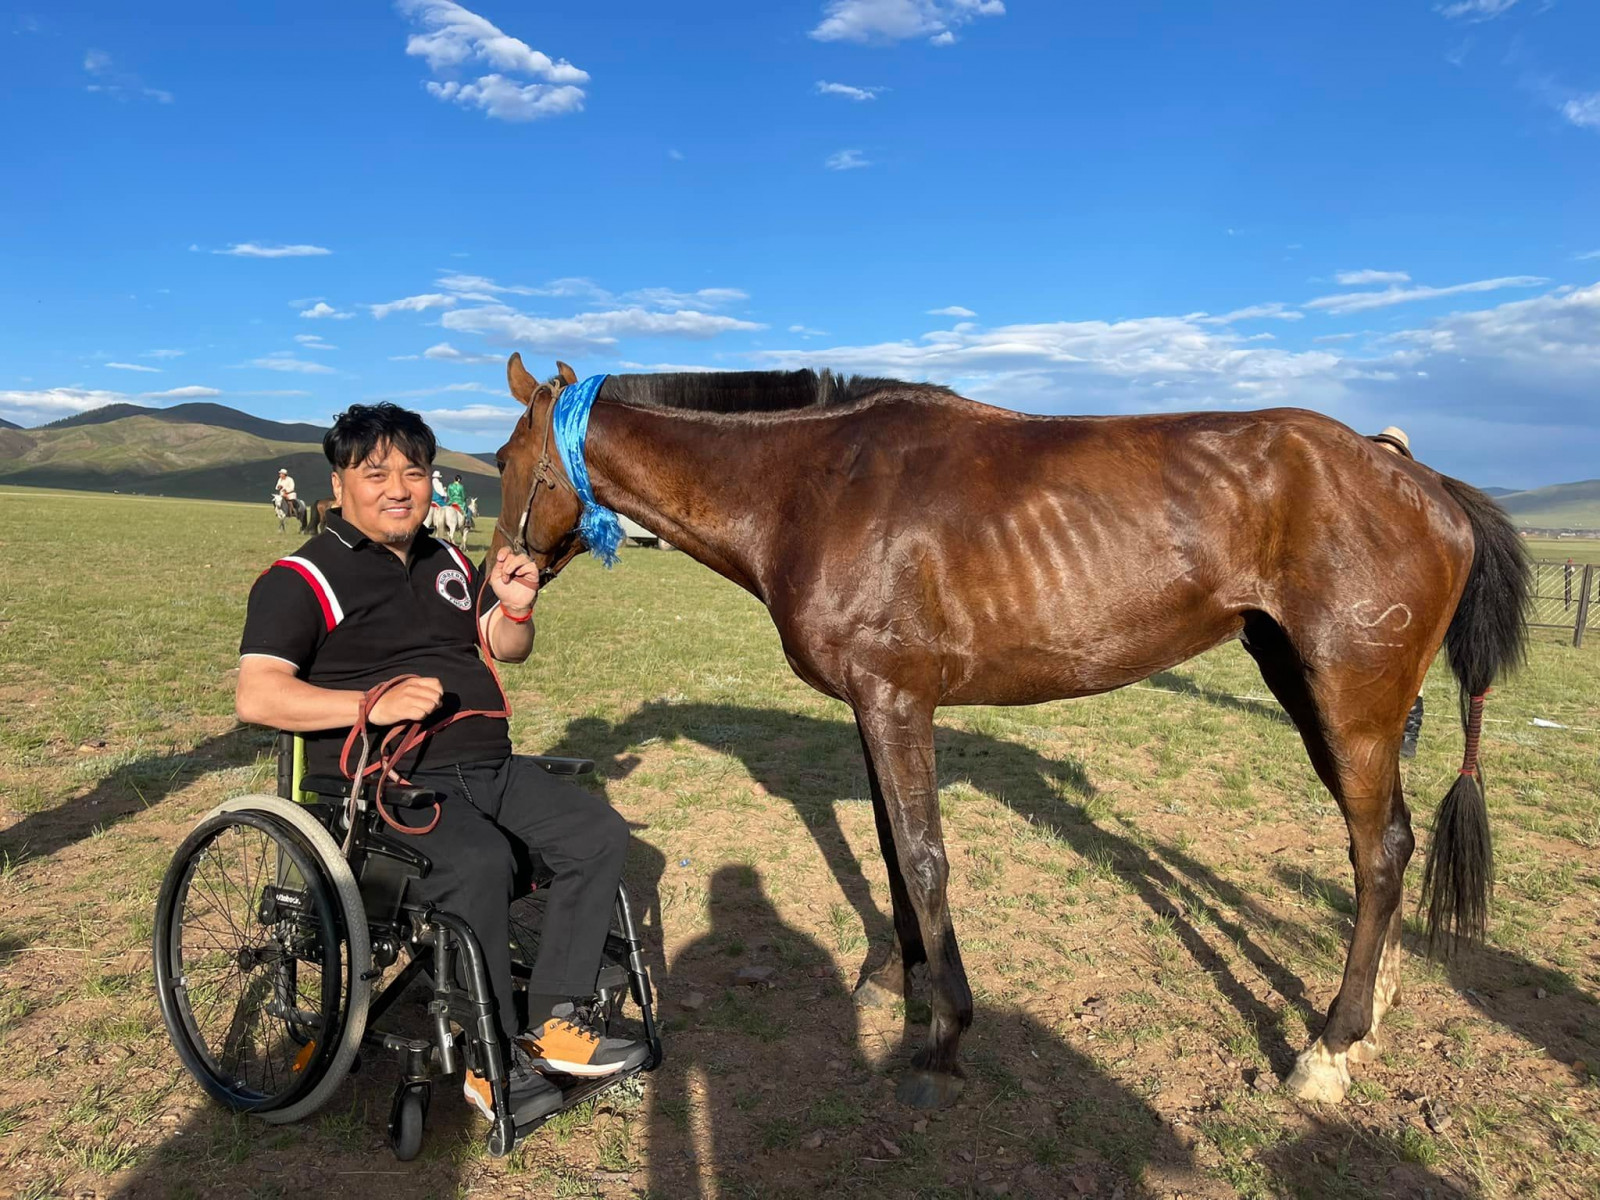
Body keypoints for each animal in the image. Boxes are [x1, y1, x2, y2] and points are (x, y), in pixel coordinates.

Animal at [483, 352, 1523, 1113]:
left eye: (498, 462)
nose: (496, 587)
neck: (810, 484)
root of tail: (1414, 472)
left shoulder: (896, 701)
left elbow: (925, 858)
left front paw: (945, 1034)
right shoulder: (873, 709)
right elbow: (891, 853)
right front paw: (898, 987)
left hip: (1349, 701)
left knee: (1378, 851)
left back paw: (1329, 1049)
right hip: (1318, 691)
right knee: (1391, 839)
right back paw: (1374, 1010)